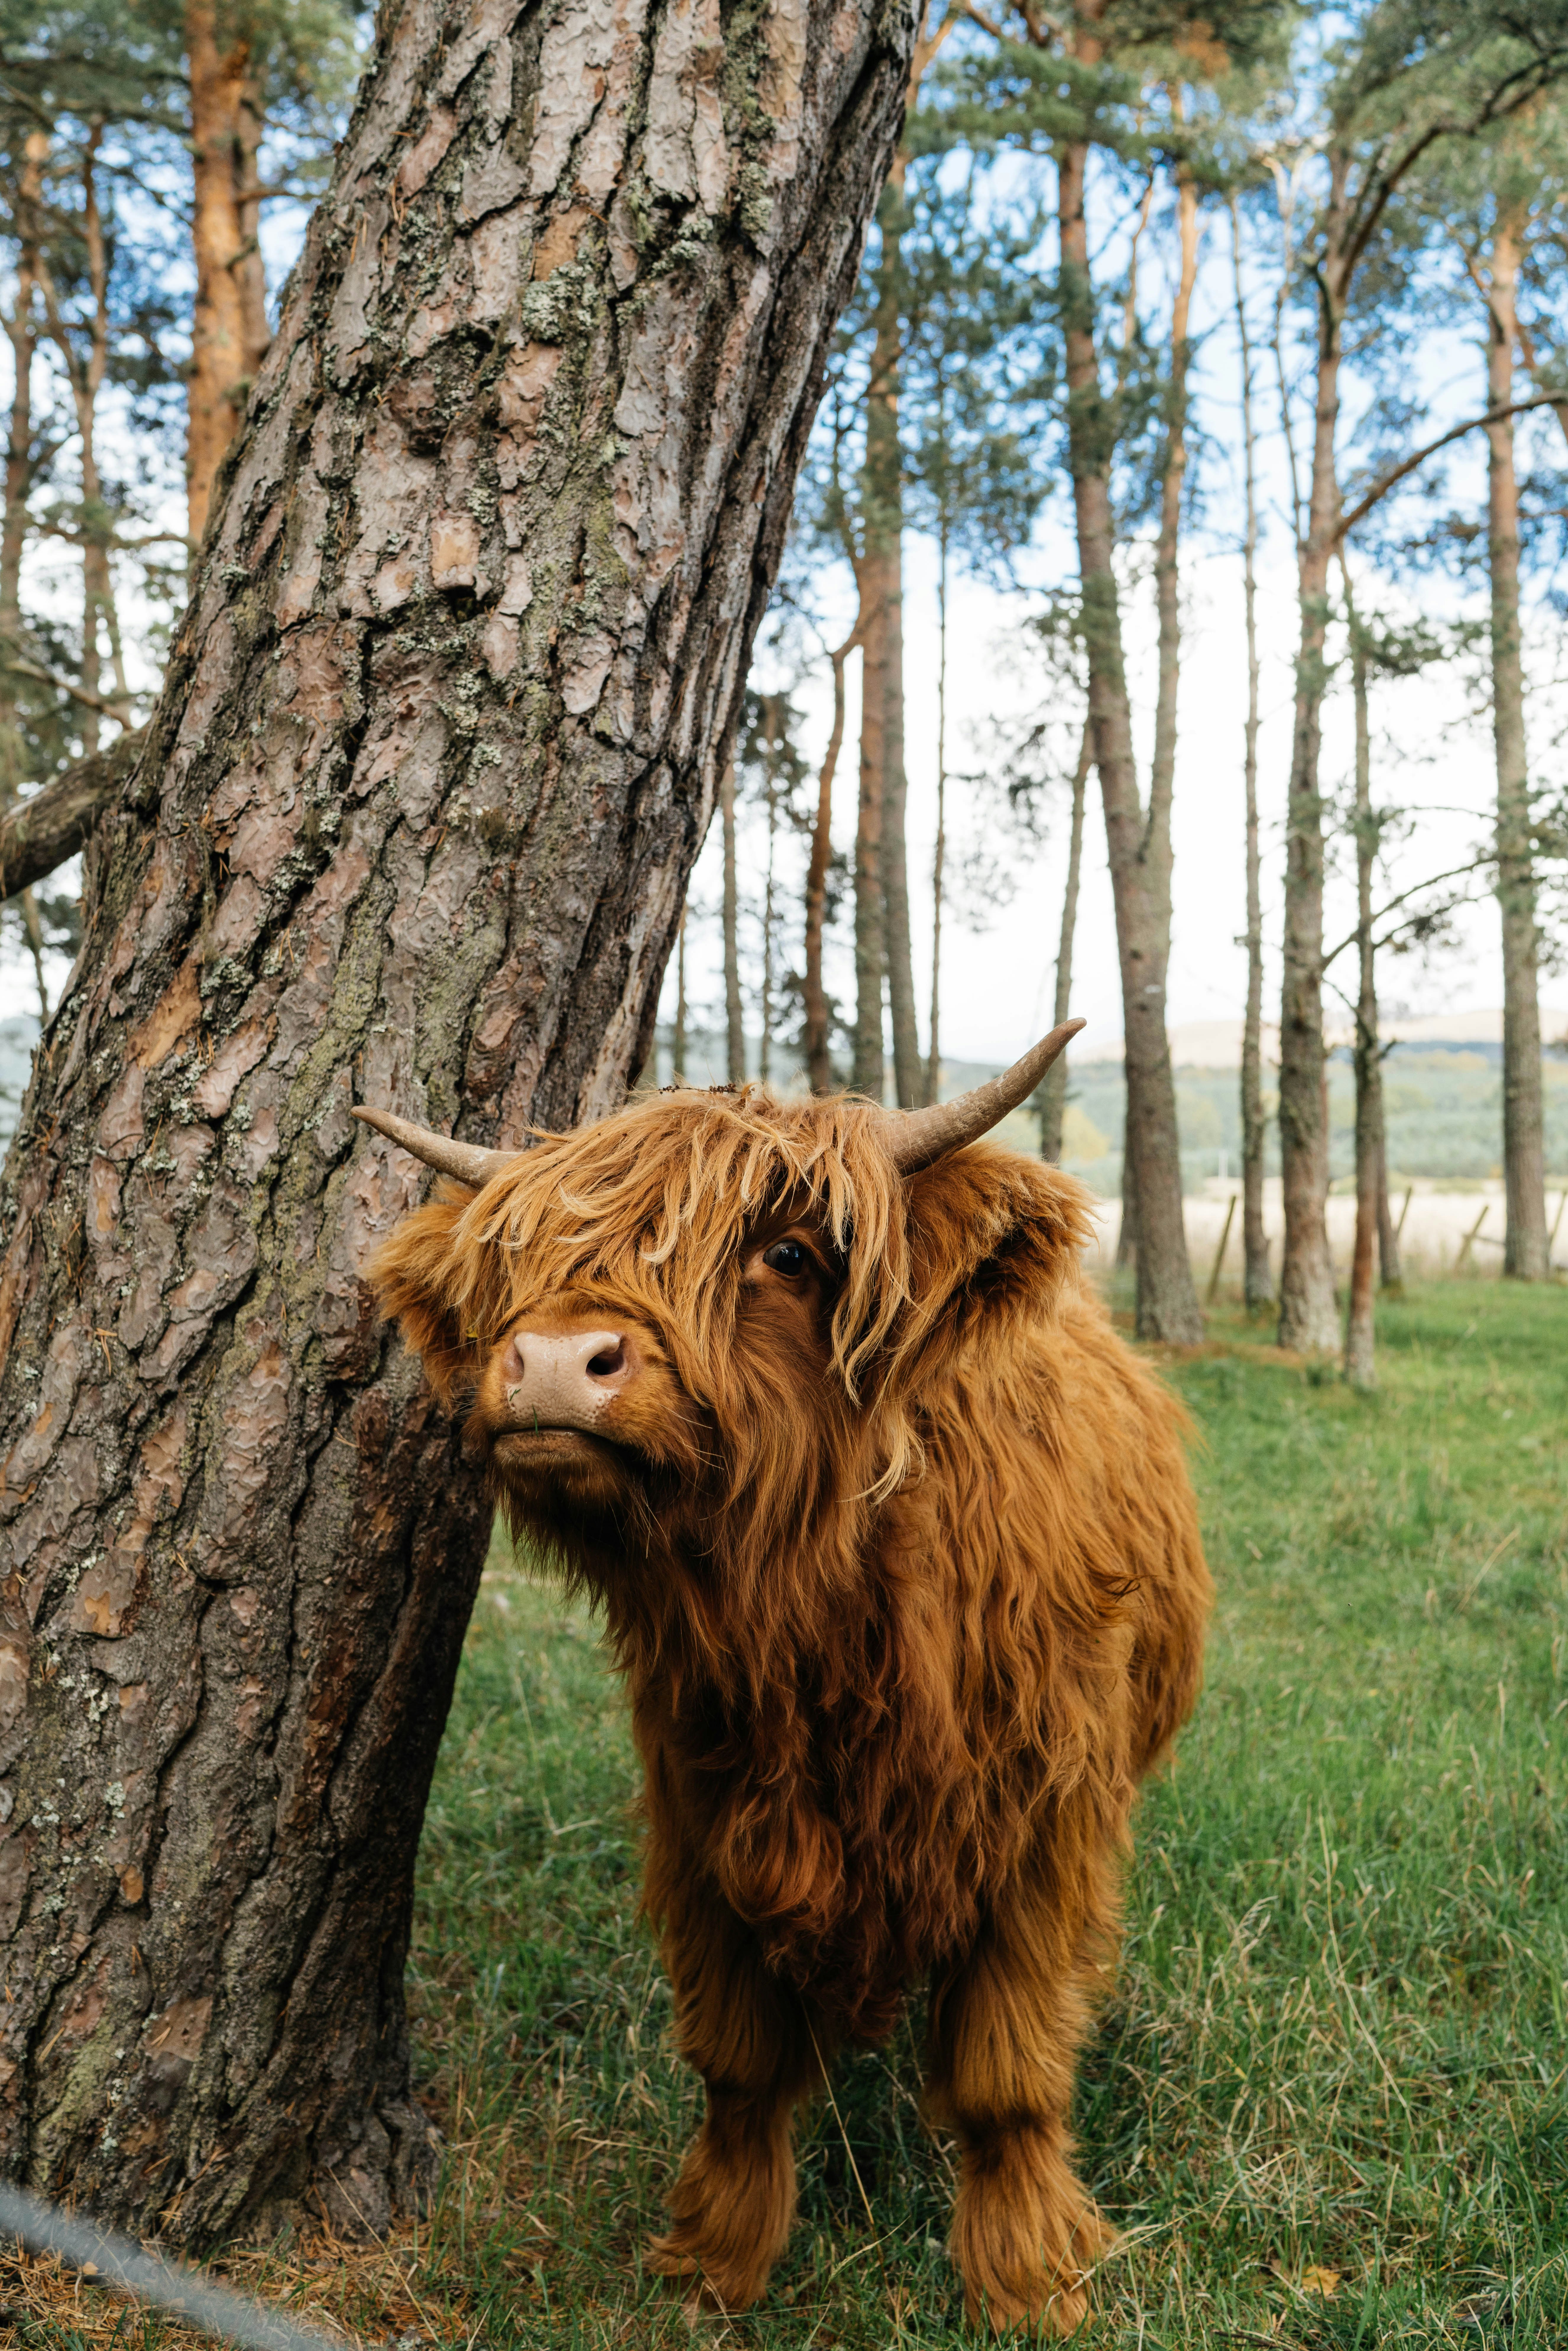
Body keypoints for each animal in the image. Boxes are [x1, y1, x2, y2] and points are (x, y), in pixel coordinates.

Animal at [358, 1021, 1211, 2333]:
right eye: (520, 1264)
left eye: (789, 1252)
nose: (551, 1363)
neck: (819, 1624)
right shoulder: (704, 1812)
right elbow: (739, 2058)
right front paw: (716, 2255)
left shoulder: (1044, 1826)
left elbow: (1007, 2067)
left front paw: (1029, 2277)